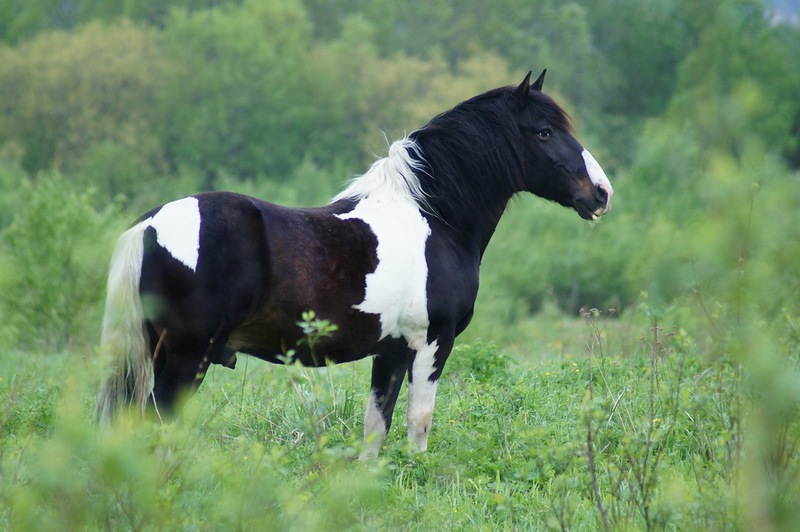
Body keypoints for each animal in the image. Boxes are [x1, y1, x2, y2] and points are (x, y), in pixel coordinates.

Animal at [95, 70, 612, 458]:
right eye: (544, 132)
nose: (601, 194)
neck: (433, 215)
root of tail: (148, 225)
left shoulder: (391, 351)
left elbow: (375, 428)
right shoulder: (433, 343)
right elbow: (419, 422)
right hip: (186, 357)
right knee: (154, 423)